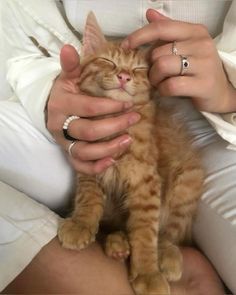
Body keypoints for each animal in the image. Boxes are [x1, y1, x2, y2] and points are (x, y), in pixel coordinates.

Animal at [57, 12, 205, 295]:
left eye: (138, 70)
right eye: (108, 61)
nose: (124, 76)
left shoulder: (146, 181)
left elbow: (145, 230)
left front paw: (147, 272)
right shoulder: (91, 165)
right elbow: (88, 198)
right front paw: (81, 224)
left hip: (187, 181)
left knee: (170, 233)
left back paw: (167, 256)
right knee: (119, 226)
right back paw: (117, 243)